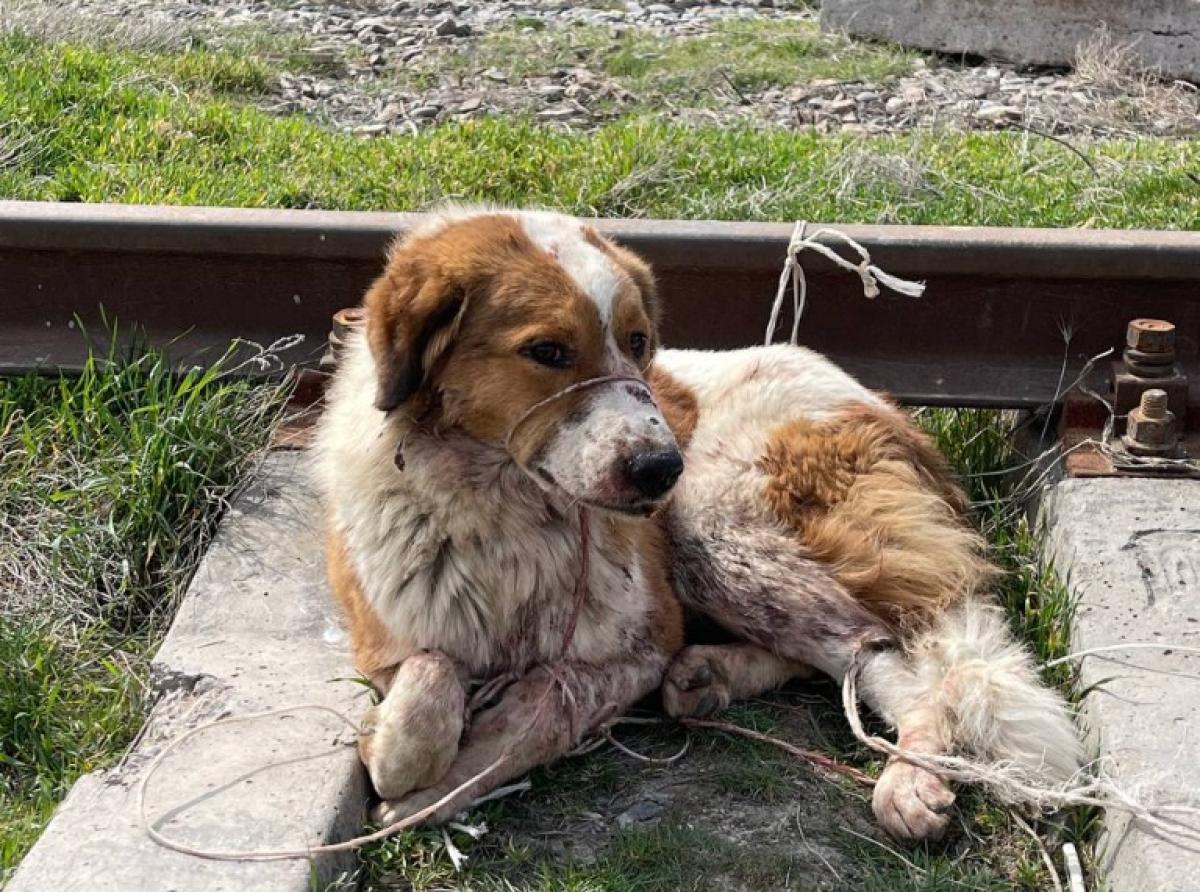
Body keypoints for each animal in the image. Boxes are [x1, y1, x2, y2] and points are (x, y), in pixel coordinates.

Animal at [309, 208, 1080, 845]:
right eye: (548, 352)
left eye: (639, 342)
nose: (659, 468)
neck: (507, 510)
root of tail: (893, 416)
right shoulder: (384, 637)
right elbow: (435, 668)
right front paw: (402, 749)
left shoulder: (643, 643)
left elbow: (531, 715)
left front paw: (419, 786)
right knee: (842, 649)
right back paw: (711, 675)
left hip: (712, 527)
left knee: (883, 654)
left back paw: (909, 777)